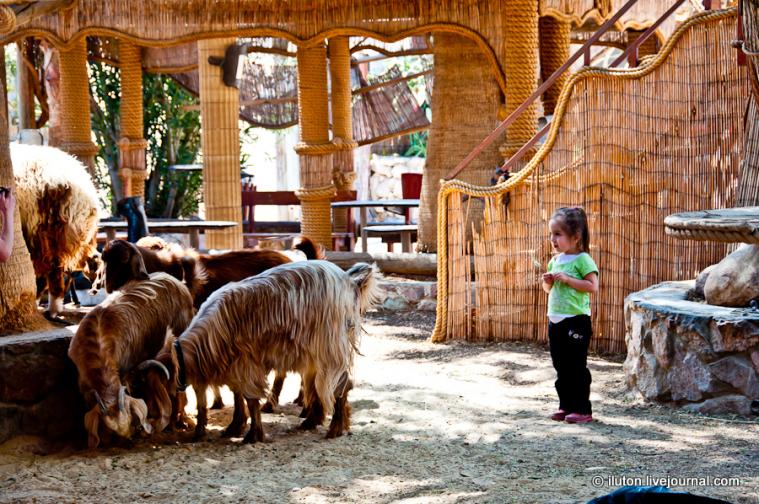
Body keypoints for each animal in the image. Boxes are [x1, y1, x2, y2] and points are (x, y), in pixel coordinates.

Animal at [68, 271, 195, 448]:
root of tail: (177, 282)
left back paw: (179, 421)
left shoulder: (127, 371)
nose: (129, 440)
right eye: (112, 430)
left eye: (129, 418)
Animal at [169, 260, 379, 443]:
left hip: (330, 348)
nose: (192, 432)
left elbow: (250, 399)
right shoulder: (235, 366)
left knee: (341, 385)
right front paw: (235, 426)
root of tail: (349, 281)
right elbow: (238, 396)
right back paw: (314, 422)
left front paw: (252, 435)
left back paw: (335, 428)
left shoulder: (245, 364)